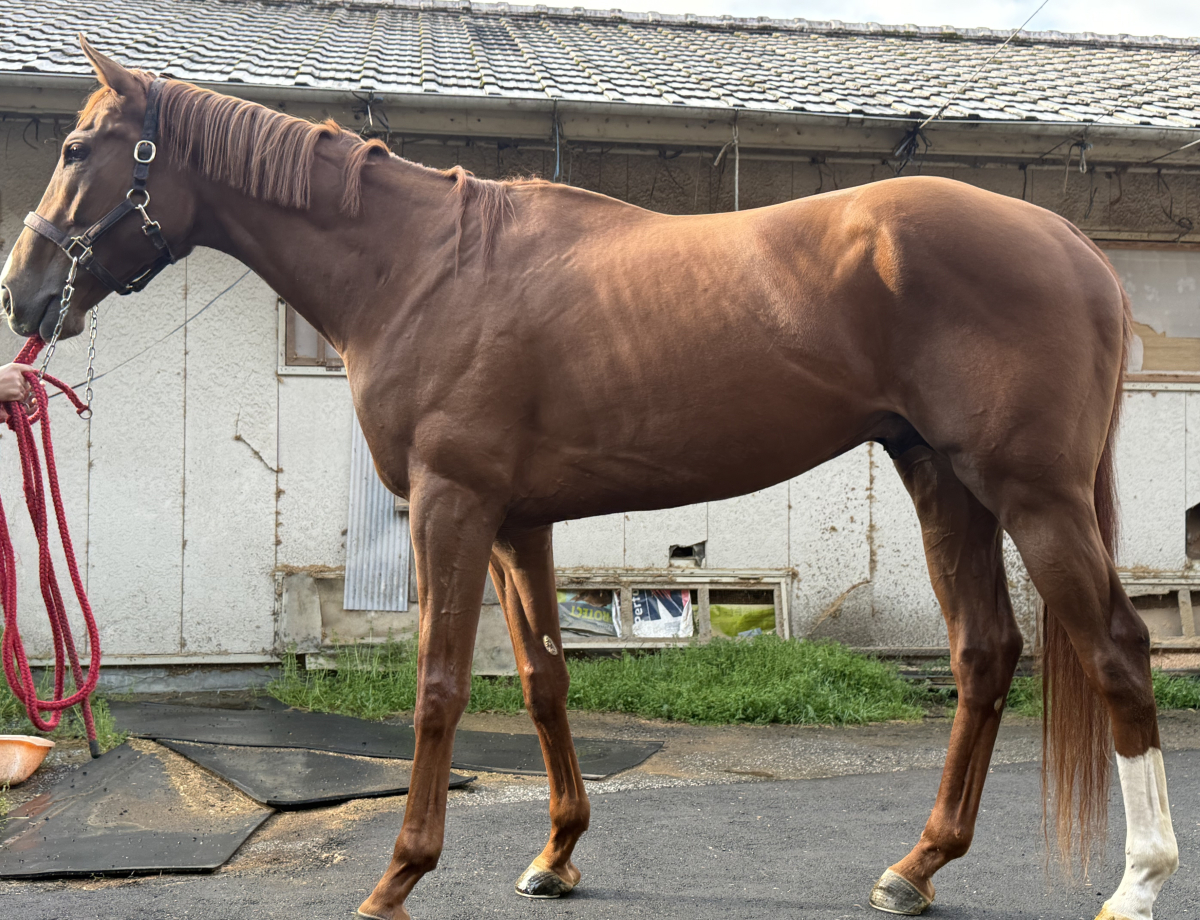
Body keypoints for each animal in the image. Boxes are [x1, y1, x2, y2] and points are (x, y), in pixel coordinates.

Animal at [0, 37, 1178, 920]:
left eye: (79, 146)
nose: (22, 290)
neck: (424, 266)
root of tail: (1069, 238)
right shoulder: (519, 521)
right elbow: (543, 680)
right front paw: (556, 855)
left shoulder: (451, 505)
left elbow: (439, 684)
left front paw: (397, 876)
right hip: (944, 482)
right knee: (986, 653)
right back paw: (915, 867)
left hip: (1034, 494)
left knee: (1117, 648)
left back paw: (1137, 880)